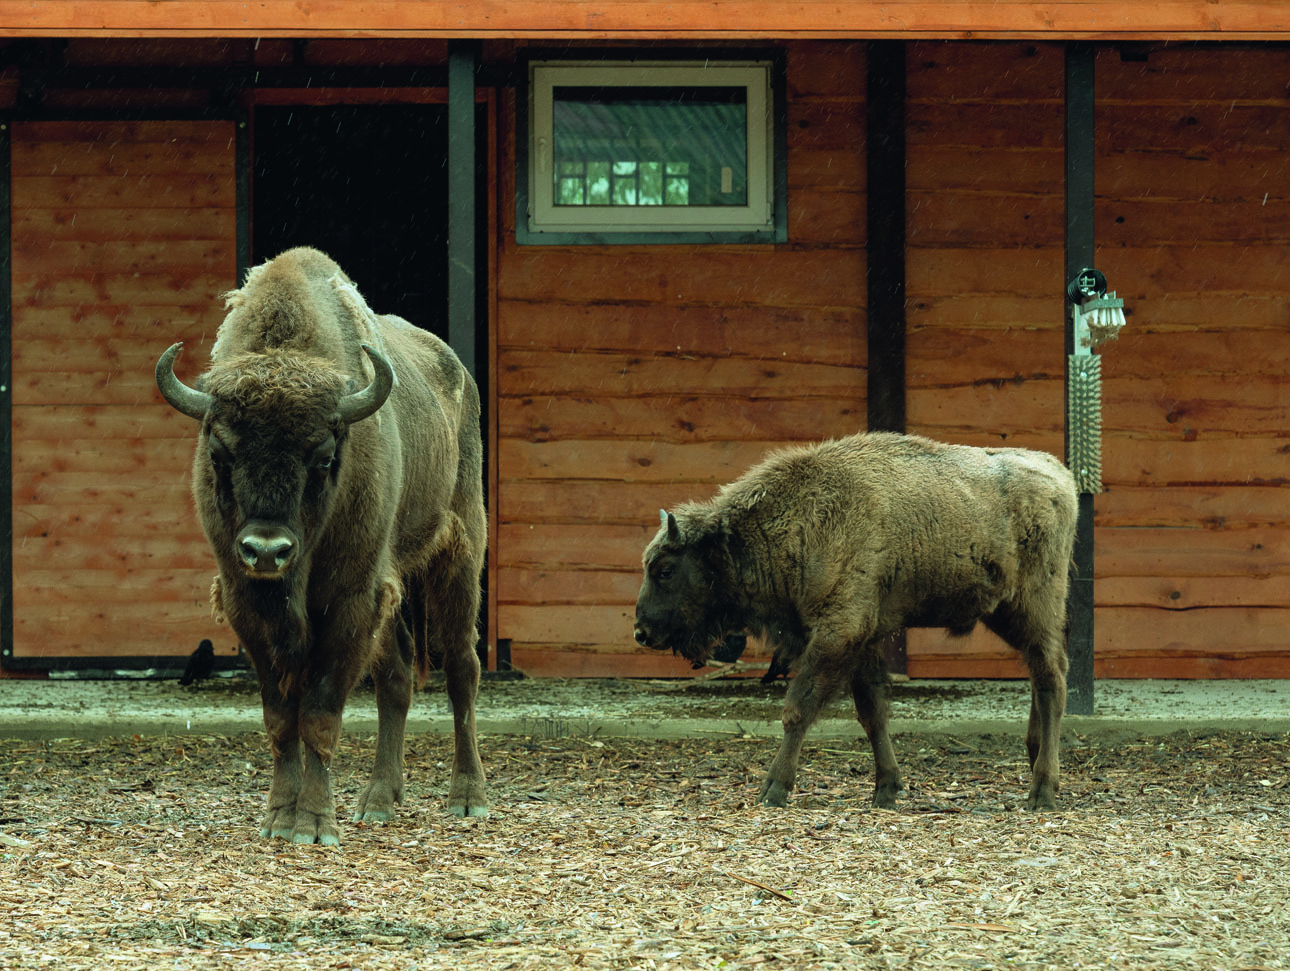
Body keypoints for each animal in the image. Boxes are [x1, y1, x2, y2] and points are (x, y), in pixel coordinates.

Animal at [156, 247, 485, 840]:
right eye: (219, 453)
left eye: (325, 456)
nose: (267, 551)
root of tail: (458, 375)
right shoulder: (247, 605)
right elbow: (280, 715)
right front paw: (277, 817)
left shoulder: (350, 599)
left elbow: (320, 712)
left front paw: (313, 823)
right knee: (396, 675)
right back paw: (379, 799)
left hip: (461, 549)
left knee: (461, 667)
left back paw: (468, 796)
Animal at [634, 430, 1078, 809]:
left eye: (665, 570)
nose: (641, 632)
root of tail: (1062, 477)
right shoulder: (861, 642)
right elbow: (872, 714)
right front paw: (886, 790)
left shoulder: (837, 633)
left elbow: (798, 707)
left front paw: (773, 788)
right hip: (1009, 615)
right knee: (1039, 676)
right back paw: (1034, 757)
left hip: (1036, 607)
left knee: (1053, 679)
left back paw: (1042, 791)